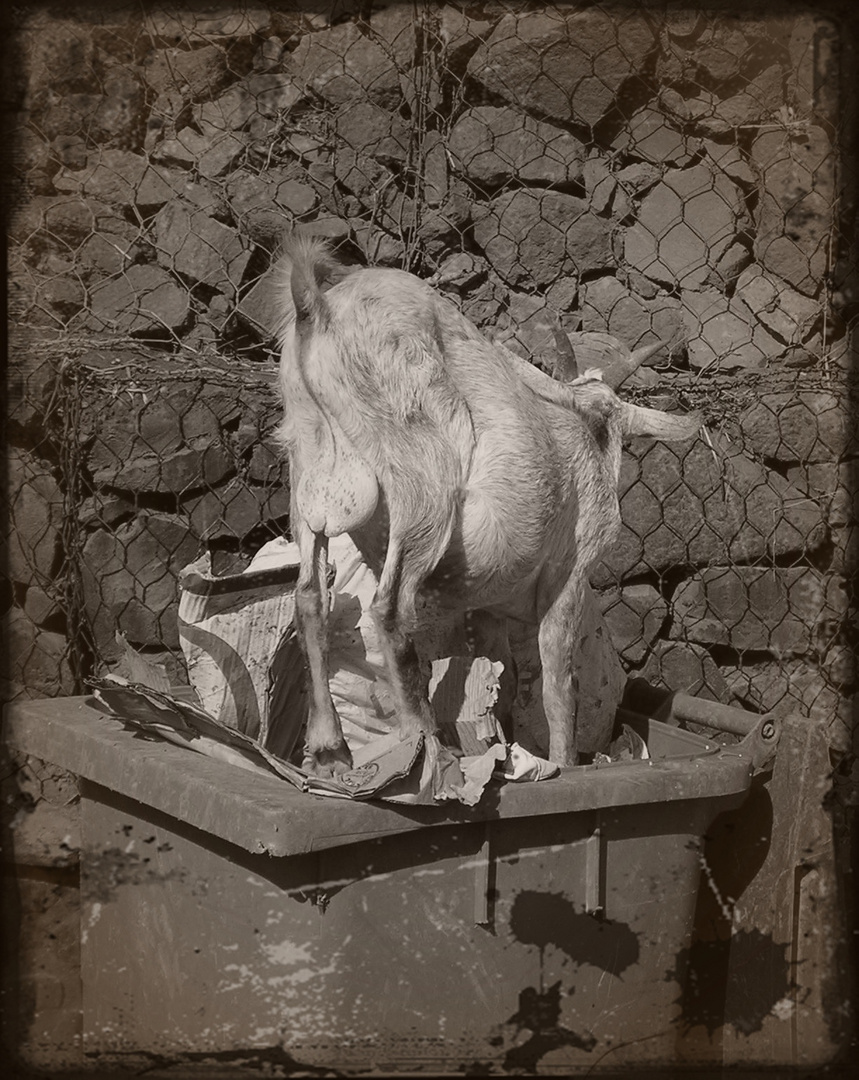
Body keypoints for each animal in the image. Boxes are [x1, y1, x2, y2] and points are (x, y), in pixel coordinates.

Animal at [275, 238, 700, 777]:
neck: (585, 430)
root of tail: (316, 307)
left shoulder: (492, 604)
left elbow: (509, 679)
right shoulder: (570, 570)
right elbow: (559, 685)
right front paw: (564, 765)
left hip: (305, 471)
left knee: (310, 597)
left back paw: (331, 749)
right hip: (421, 477)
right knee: (389, 606)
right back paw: (428, 751)